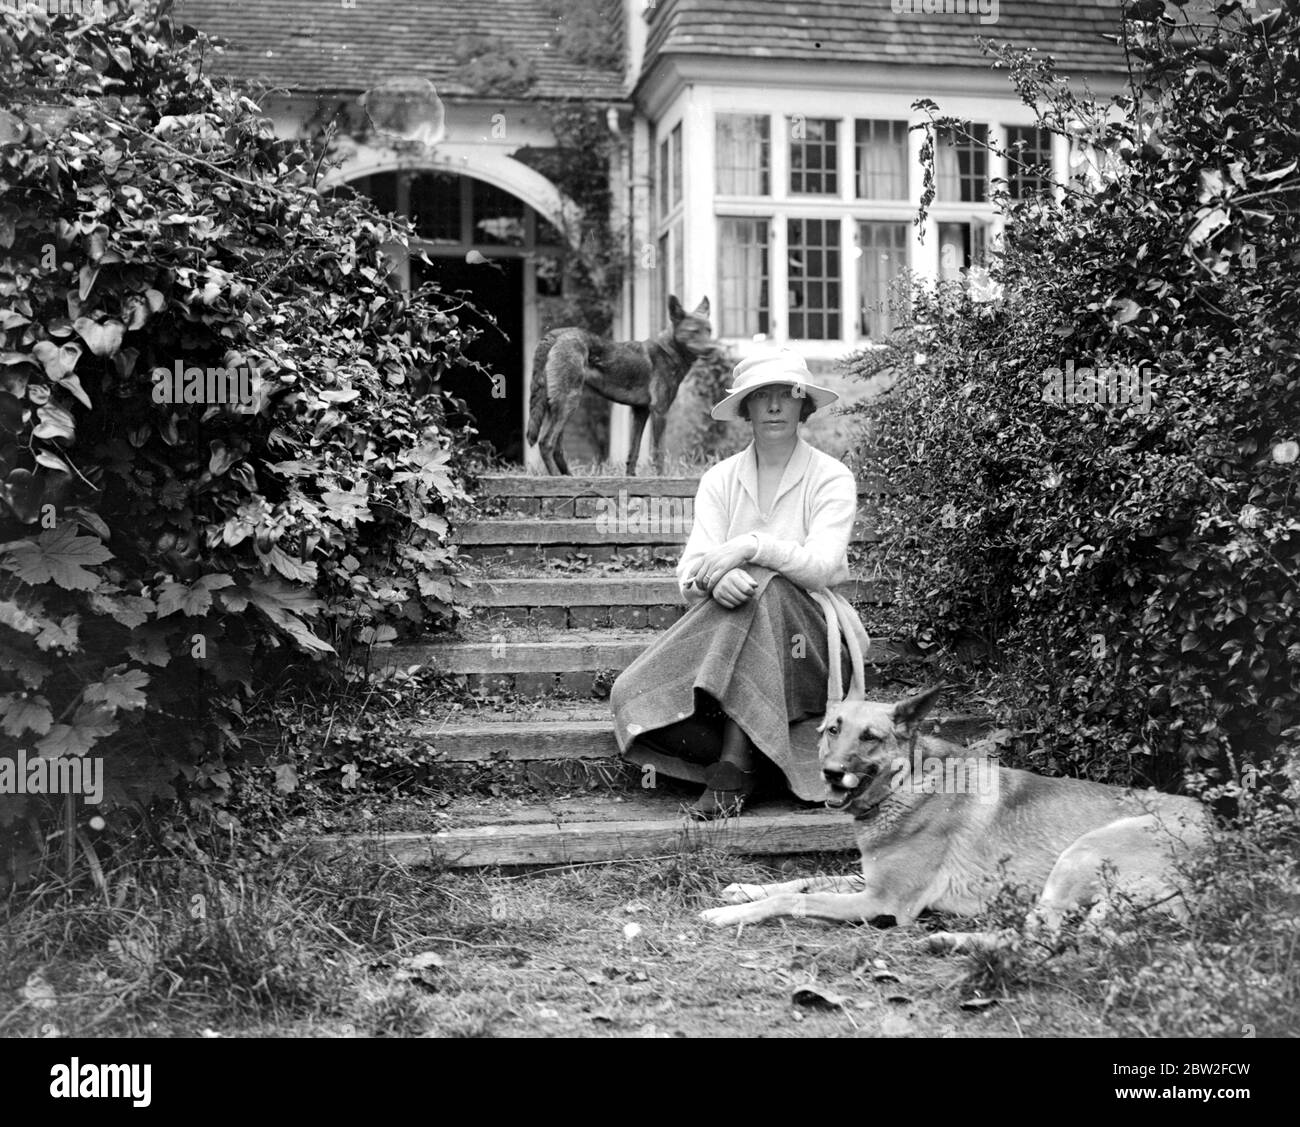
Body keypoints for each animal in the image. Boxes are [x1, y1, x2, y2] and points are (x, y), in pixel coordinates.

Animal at [522, 292, 717, 473]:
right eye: (694, 331)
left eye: (709, 331)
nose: (712, 348)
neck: (668, 351)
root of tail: (556, 334)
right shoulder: (660, 411)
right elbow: (658, 453)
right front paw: (660, 479)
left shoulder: (641, 412)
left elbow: (633, 452)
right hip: (568, 403)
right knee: (546, 443)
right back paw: (557, 477)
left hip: (557, 407)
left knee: (557, 448)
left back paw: (568, 476)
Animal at [702, 686, 1206, 951]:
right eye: (832, 730)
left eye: (870, 737)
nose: (830, 772)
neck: (906, 785)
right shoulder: (869, 881)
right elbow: (804, 882)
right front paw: (743, 889)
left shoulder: (882, 901)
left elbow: (796, 898)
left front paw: (732, 913)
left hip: (1079, 854)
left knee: (1040, 937)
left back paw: (951, 941)